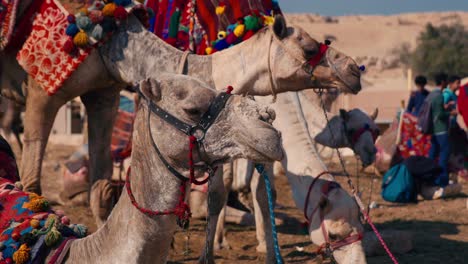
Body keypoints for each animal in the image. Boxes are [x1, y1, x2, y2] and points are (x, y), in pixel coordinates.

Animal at [196, 89, 378, 262]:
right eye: (333, 235)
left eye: (362, 230)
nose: (371, 154)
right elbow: (220, 191)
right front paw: (212, 249)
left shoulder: (265, 143)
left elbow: (264, 193)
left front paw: (267, 248)